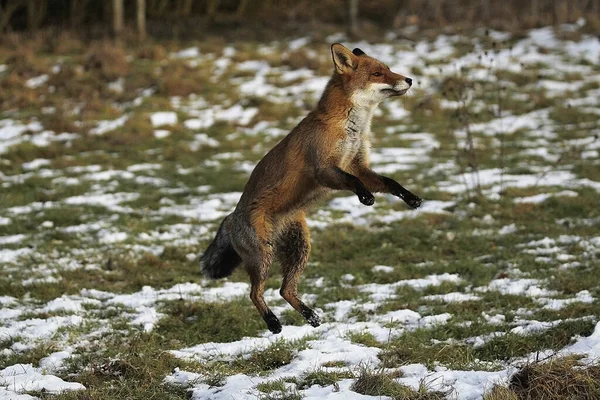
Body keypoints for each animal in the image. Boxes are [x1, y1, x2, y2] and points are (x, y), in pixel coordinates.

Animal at [202, 43, 422, 334]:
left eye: (388, 69)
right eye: (378, 73)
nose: (409, 80)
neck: (351, 129)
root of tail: (230, 216)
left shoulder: (358, 165)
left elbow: (390, 182)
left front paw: (410, 198)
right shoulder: (325, 169)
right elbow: (354, 183)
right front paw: (365, 197)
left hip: (300, 249)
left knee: (285, 290)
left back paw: (310, 316)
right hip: (263, 257)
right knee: (254, 292)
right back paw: (272, 322)